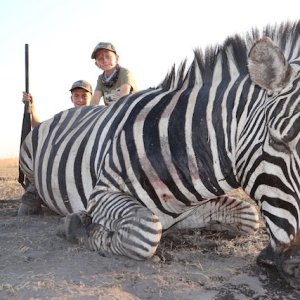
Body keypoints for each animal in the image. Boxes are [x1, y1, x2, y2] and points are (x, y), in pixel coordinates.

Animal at [19, 21, 300, 288]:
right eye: (277, 142)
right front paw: (78, 226)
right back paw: (29, 203)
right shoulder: (101, 194)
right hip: (28, 151)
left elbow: (249, 215)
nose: (295, 265)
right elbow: (145, 231)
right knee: (30, 183)